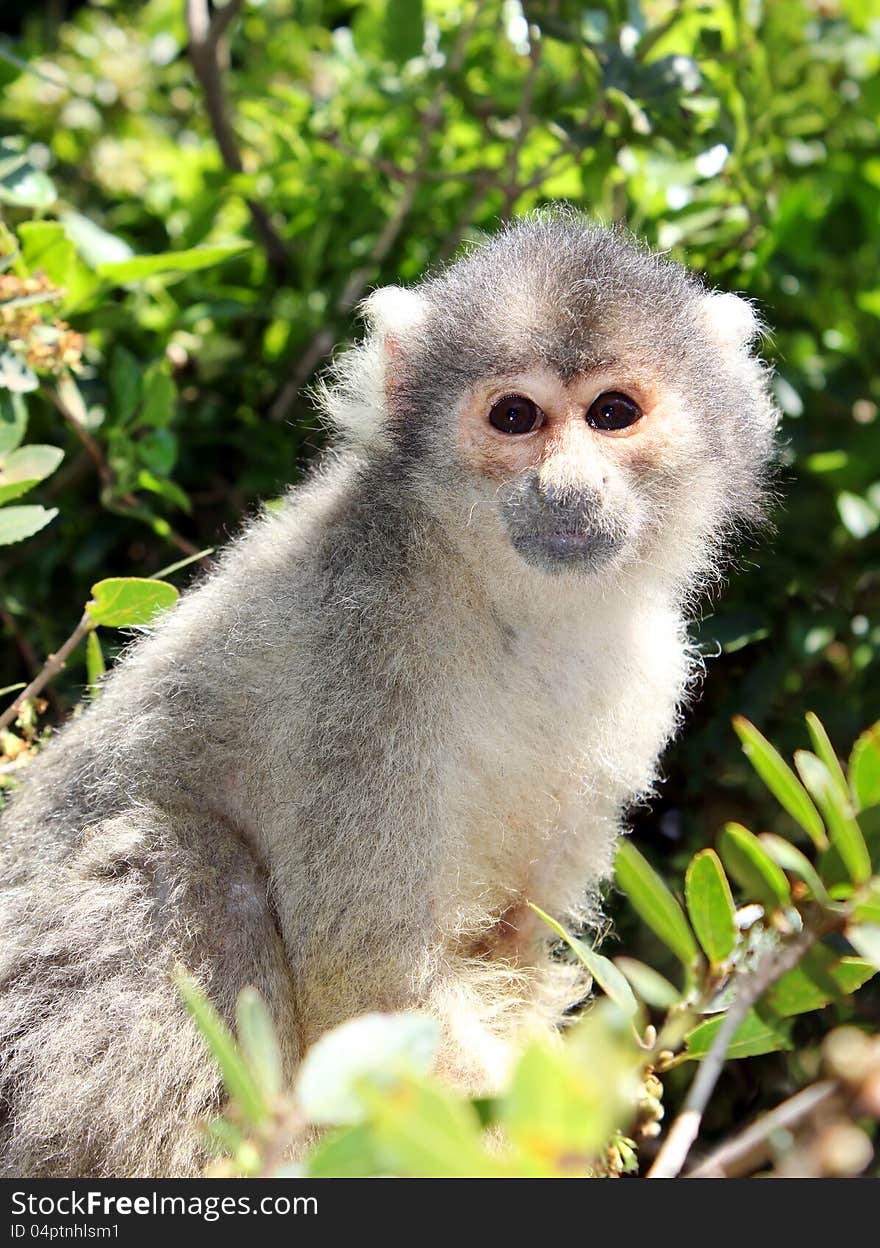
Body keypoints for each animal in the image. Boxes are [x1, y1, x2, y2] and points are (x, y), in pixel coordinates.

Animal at [0, 209, 773, 1173]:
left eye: (613, 414)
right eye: (514, 416)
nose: (567, 489)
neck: (502, 600)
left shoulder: (649, 671)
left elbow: (513, 945)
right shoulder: (361, 648)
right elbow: (370, 980)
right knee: (189, 861)